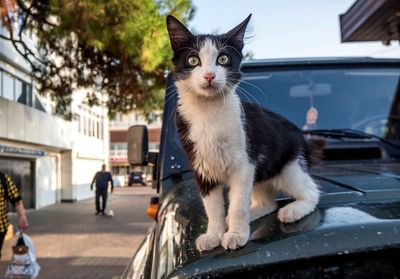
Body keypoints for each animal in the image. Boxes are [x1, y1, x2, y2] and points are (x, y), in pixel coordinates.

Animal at [166, 14, 318, 252]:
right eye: (192, 61)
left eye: (223, 59)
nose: (209, 75)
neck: (208, 113)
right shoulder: (202, 167)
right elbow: (213, 208)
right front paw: (214, 235)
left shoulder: (245, 164)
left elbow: (238, 205)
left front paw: (236, 234)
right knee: (268, 203)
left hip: (287, 166)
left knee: (312, 192)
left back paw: (292, 210)